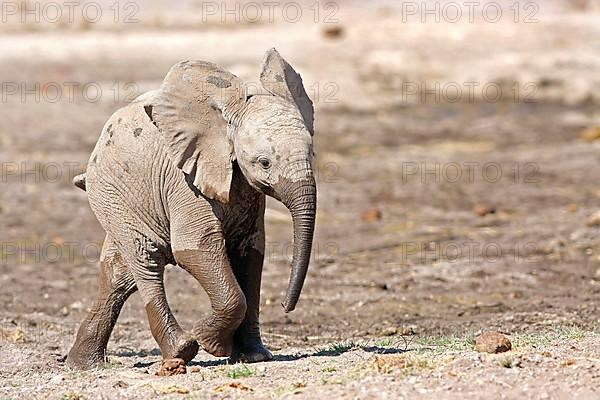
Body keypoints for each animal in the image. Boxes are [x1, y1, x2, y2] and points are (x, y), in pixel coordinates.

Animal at [67, 49, 316, 368]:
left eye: (312, 154)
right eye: (264, 163)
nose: (286, 306)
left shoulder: (247, 192)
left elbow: (250, 254)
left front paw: (254, 357)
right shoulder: (184, 181)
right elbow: (194, 248)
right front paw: (212, 344)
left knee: (119, 274)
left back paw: (84, 364)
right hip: (111, 194)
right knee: (145, 260)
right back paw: (180, 351)